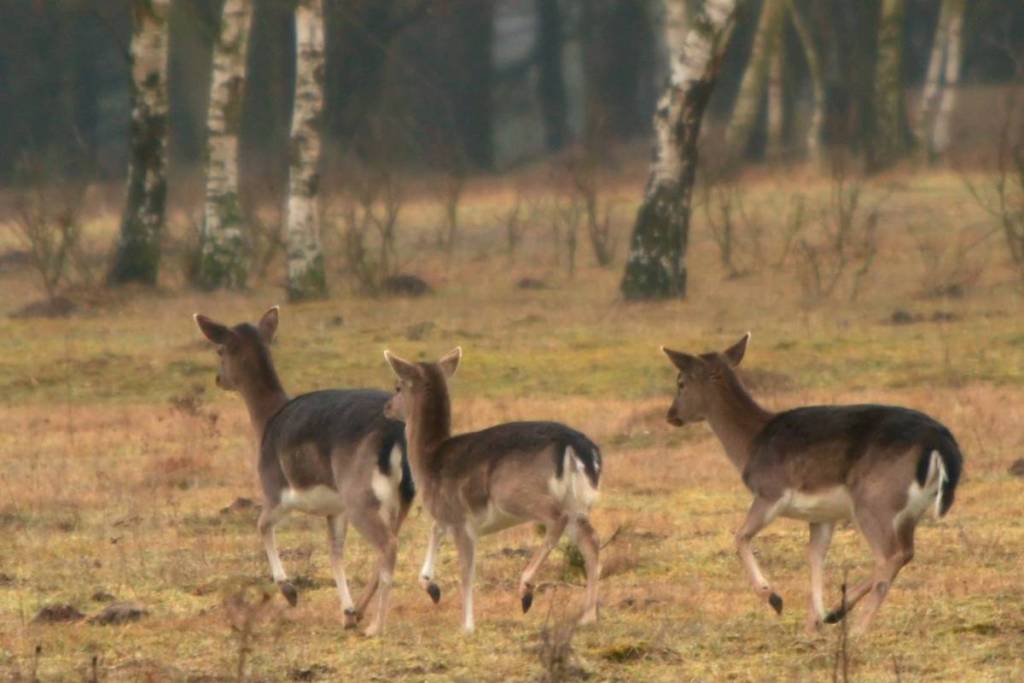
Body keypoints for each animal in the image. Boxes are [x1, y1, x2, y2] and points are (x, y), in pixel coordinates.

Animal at [193, 306, 414, 637]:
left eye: (220, 349)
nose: (219, 378)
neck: (266, 421)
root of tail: (396, 434)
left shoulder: (277, 490)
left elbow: (261, 525)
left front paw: (289, 591)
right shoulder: (335, 509)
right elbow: (335, 550)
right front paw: (347, 611)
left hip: (360, 494)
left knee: (388, 545)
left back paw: (376, 625)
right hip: (402, 497)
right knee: (391, 543)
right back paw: (362, 613)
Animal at [382, 347, 602, 633]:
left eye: (398, 386)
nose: (386, 407)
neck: (429, 462)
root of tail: (580, 449)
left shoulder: (461, 518)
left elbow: (466, 569)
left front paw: (467, 625)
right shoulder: (446, 514)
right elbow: (434, 530)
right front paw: (431, 587)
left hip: (517, 492)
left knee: (557, 521)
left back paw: (526, 590)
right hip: (578, 502)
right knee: (591, 542)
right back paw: (588, 616)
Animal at [660, 333, 963, 635]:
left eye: (680, 382)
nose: (671, 415)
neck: (750, 443)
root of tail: (942, 444)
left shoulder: (770, 491)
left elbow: (740, 536)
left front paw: (774, 598)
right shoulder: (821, 515)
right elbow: (815, 555)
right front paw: (813, 621)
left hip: (875, 499)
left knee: (890, 555)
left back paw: (857, 629)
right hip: (911, 509)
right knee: (907, 552)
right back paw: (836, 612)